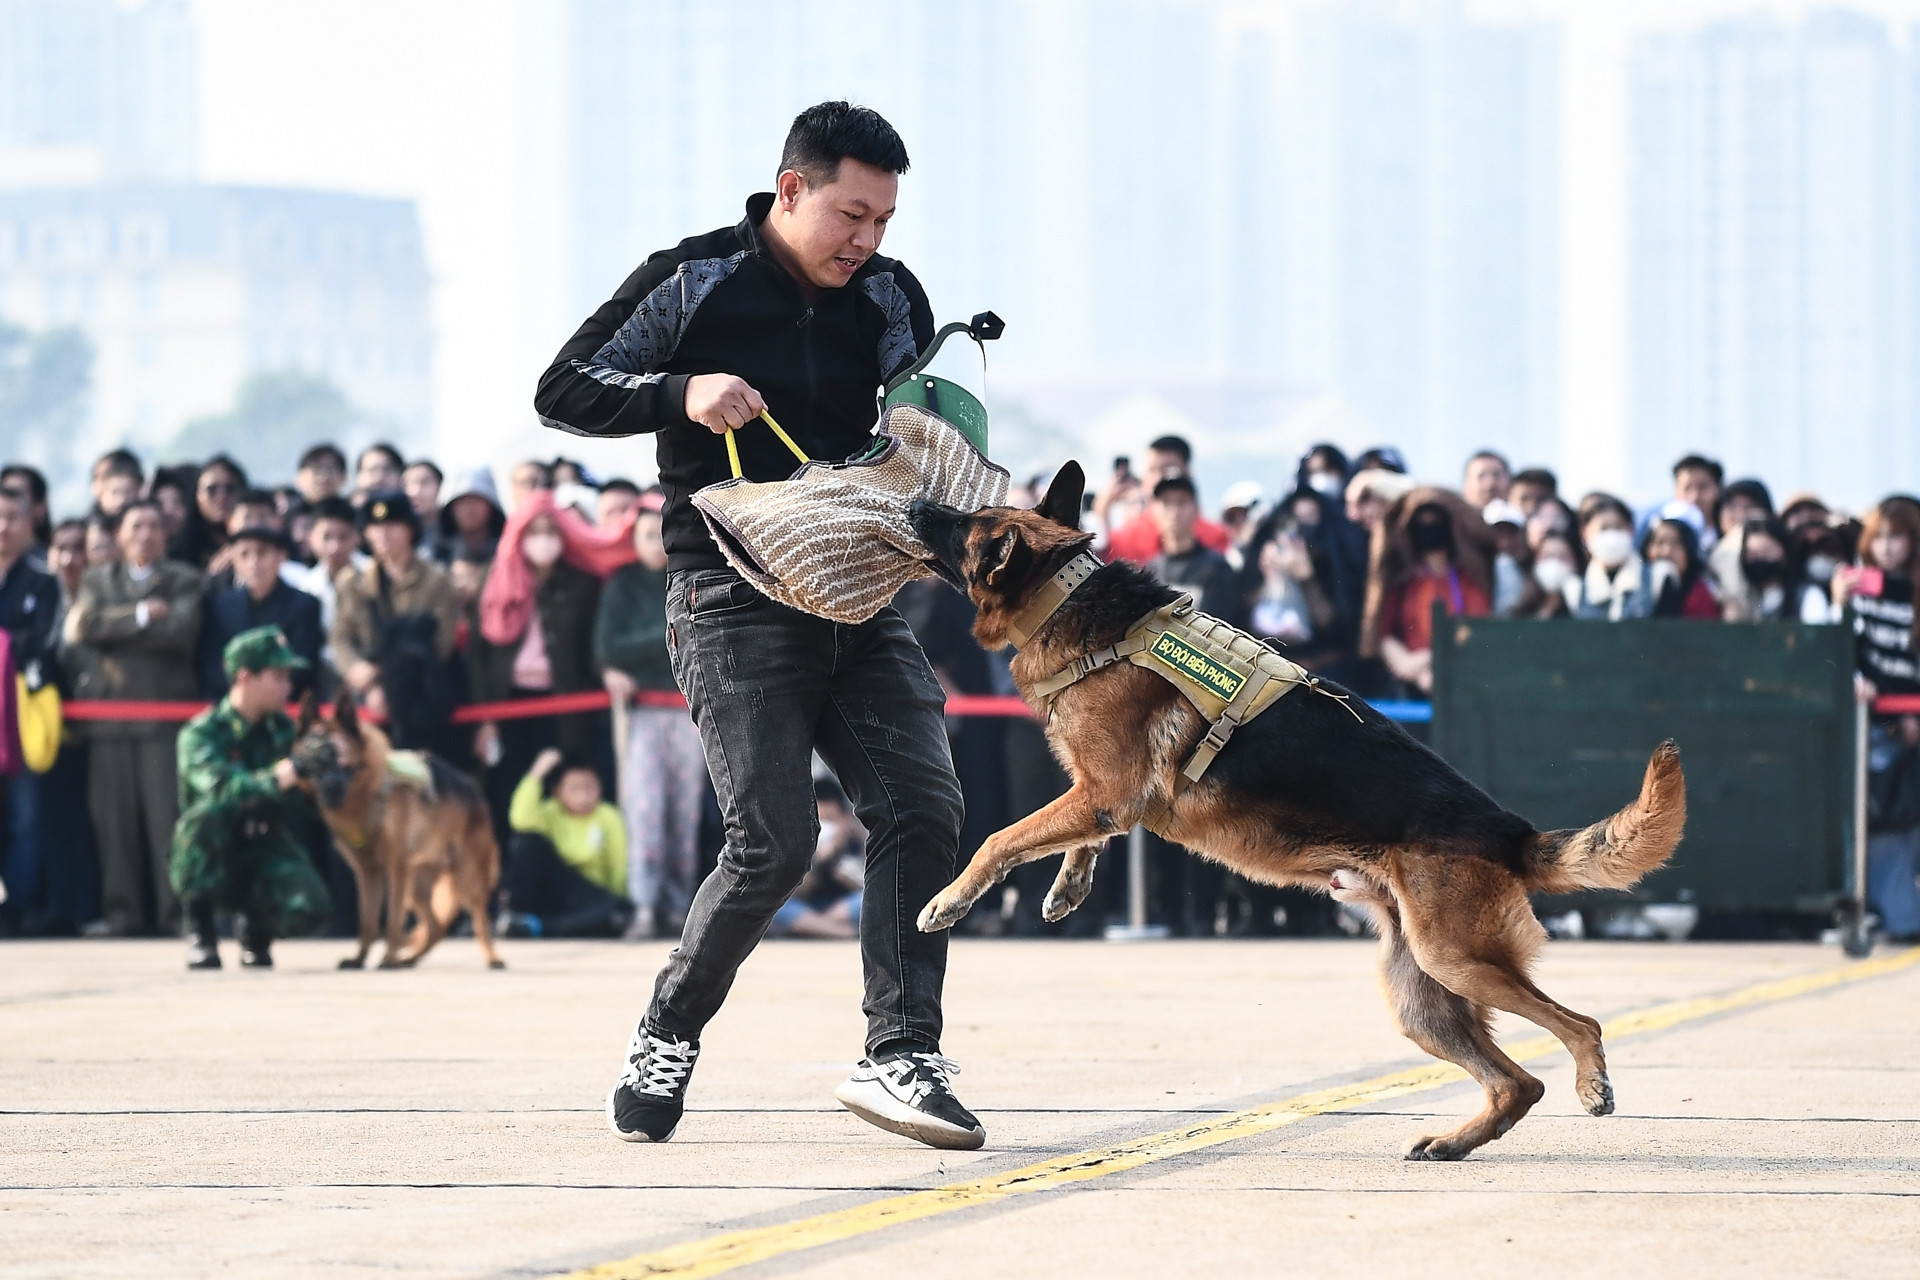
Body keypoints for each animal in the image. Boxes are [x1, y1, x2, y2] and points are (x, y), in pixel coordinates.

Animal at [289, 690, 503, 971]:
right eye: (315, 762)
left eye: (341, 759)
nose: (331, 790)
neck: (365, 793)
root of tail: (473, 788)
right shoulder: (367, 872)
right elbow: (368, 921)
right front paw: (360, 959)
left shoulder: (396, 868)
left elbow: (392, 921)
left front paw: (388, 958)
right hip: (417, 886)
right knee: (435, 928)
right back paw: (409, 959)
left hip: (466, 878)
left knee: (479, 921)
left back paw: (492, 957)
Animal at [910, 460, 1681, 1159]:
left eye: (965, 524)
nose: (916, 501)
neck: (1068, 598)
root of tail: (1509, 832)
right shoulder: (1102, 800)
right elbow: (1071, 840)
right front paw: (1068, 888)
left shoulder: (1102, 794)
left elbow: (1001, 837)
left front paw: (948, 900)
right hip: (1422, 997)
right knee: (1517, 1083)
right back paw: (1453, 1142)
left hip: (1455, 958)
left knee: (1580, 1026)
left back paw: (1590, 1086)